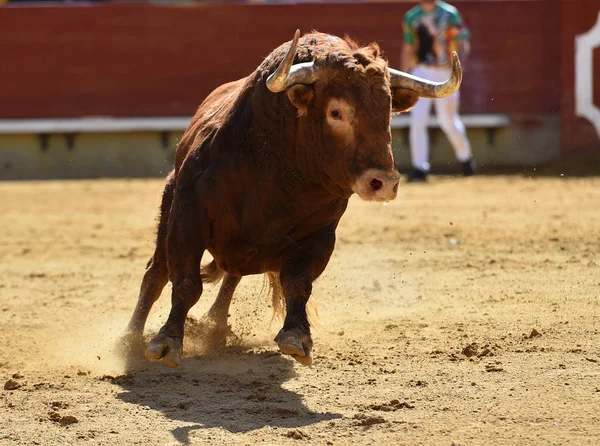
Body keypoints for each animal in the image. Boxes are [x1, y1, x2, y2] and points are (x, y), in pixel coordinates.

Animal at [124, 29, 462, 368]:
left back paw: (215, 327)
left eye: (387, 111)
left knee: (231, 277)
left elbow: (298, 283)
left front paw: (296, 336)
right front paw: (167, 341)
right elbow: (185, 281)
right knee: (156, 272)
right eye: (336, 112)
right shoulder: (188, 215)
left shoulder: (320, 233)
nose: (384, 182)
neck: (277, 162)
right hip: (170, 204)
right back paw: (129, 339)